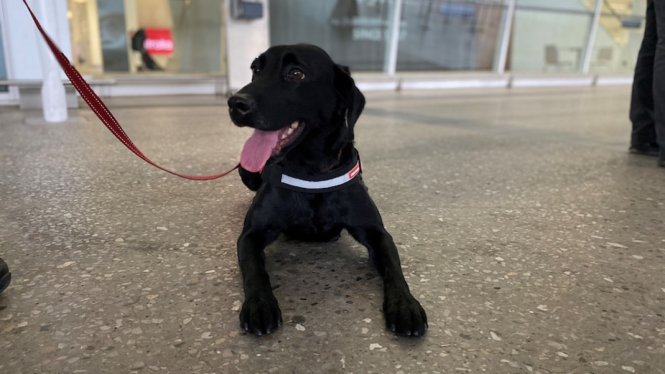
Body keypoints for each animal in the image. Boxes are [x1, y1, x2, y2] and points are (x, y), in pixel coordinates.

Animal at [227, 43, 426, 336]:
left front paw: (405, 304)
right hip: (246, 172)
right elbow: (254, 269)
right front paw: (259, 304)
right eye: (256, 69)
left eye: (296, 73)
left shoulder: (377, 232)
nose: (235, 103)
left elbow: (394, 267)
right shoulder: (251, 235)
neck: (311, 173)